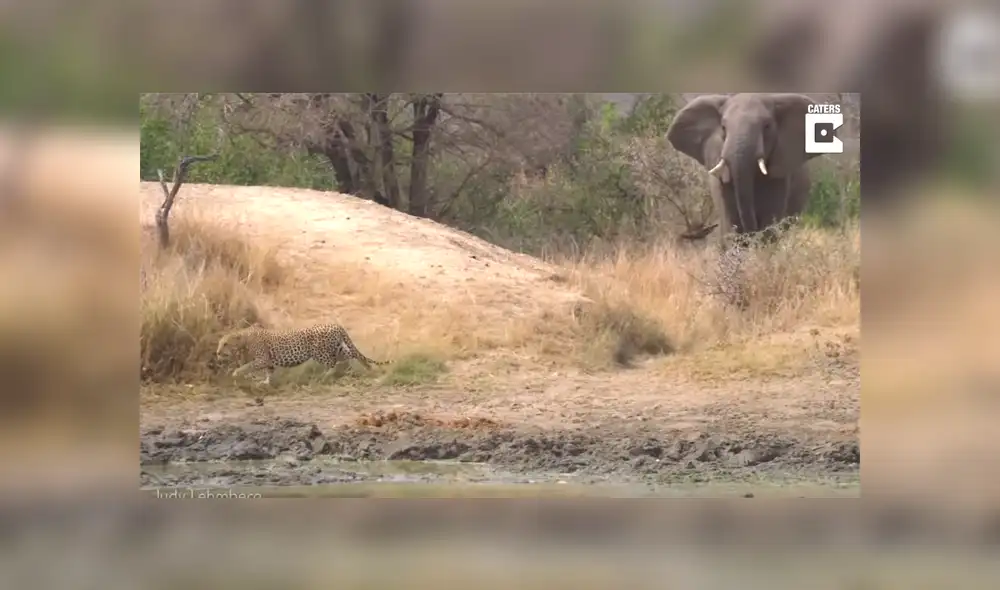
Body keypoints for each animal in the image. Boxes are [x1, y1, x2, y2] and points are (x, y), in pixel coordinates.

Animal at [215, 324, 391, 387]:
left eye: (225, 344)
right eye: (220, 343)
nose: (217, 352)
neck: (244, 338)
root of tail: (336, 325)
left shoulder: (262, 359)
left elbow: (248, 366)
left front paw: (236, 373)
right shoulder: (268, 362)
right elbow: (269, 372)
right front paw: (265, 382)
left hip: (319, 352)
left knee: (332, 363)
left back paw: (325, 376)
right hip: (338, 348)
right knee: (352, 355)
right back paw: (367, 368)